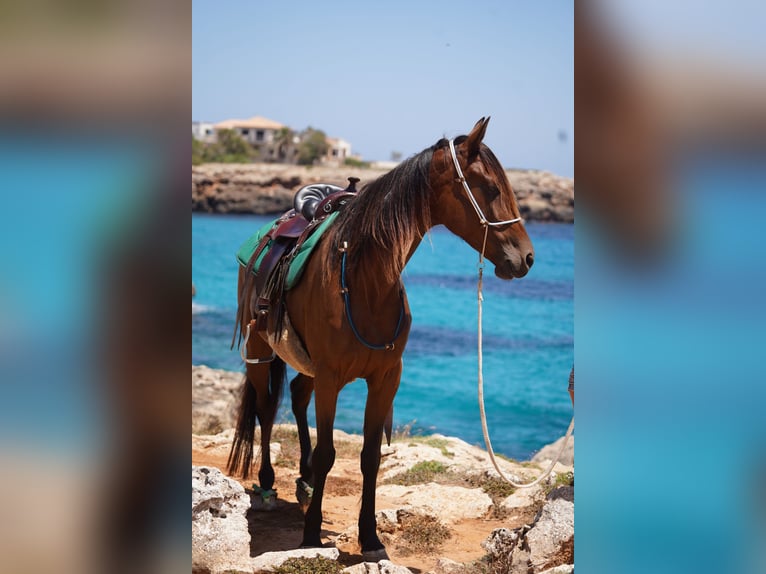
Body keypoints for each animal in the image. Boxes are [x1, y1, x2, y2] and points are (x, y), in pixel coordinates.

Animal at [227, 117, 534, 560]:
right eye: (490, 188)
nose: (526, 258)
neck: (366, 281)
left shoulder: (386, 378)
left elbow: (370, 457)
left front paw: (370, 536)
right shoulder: (332, 378)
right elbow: (327, 453)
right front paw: (311, 534)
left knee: (298, 397)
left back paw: (303, 480)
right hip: (261, 350)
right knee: (266, 410)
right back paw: (268, 483)